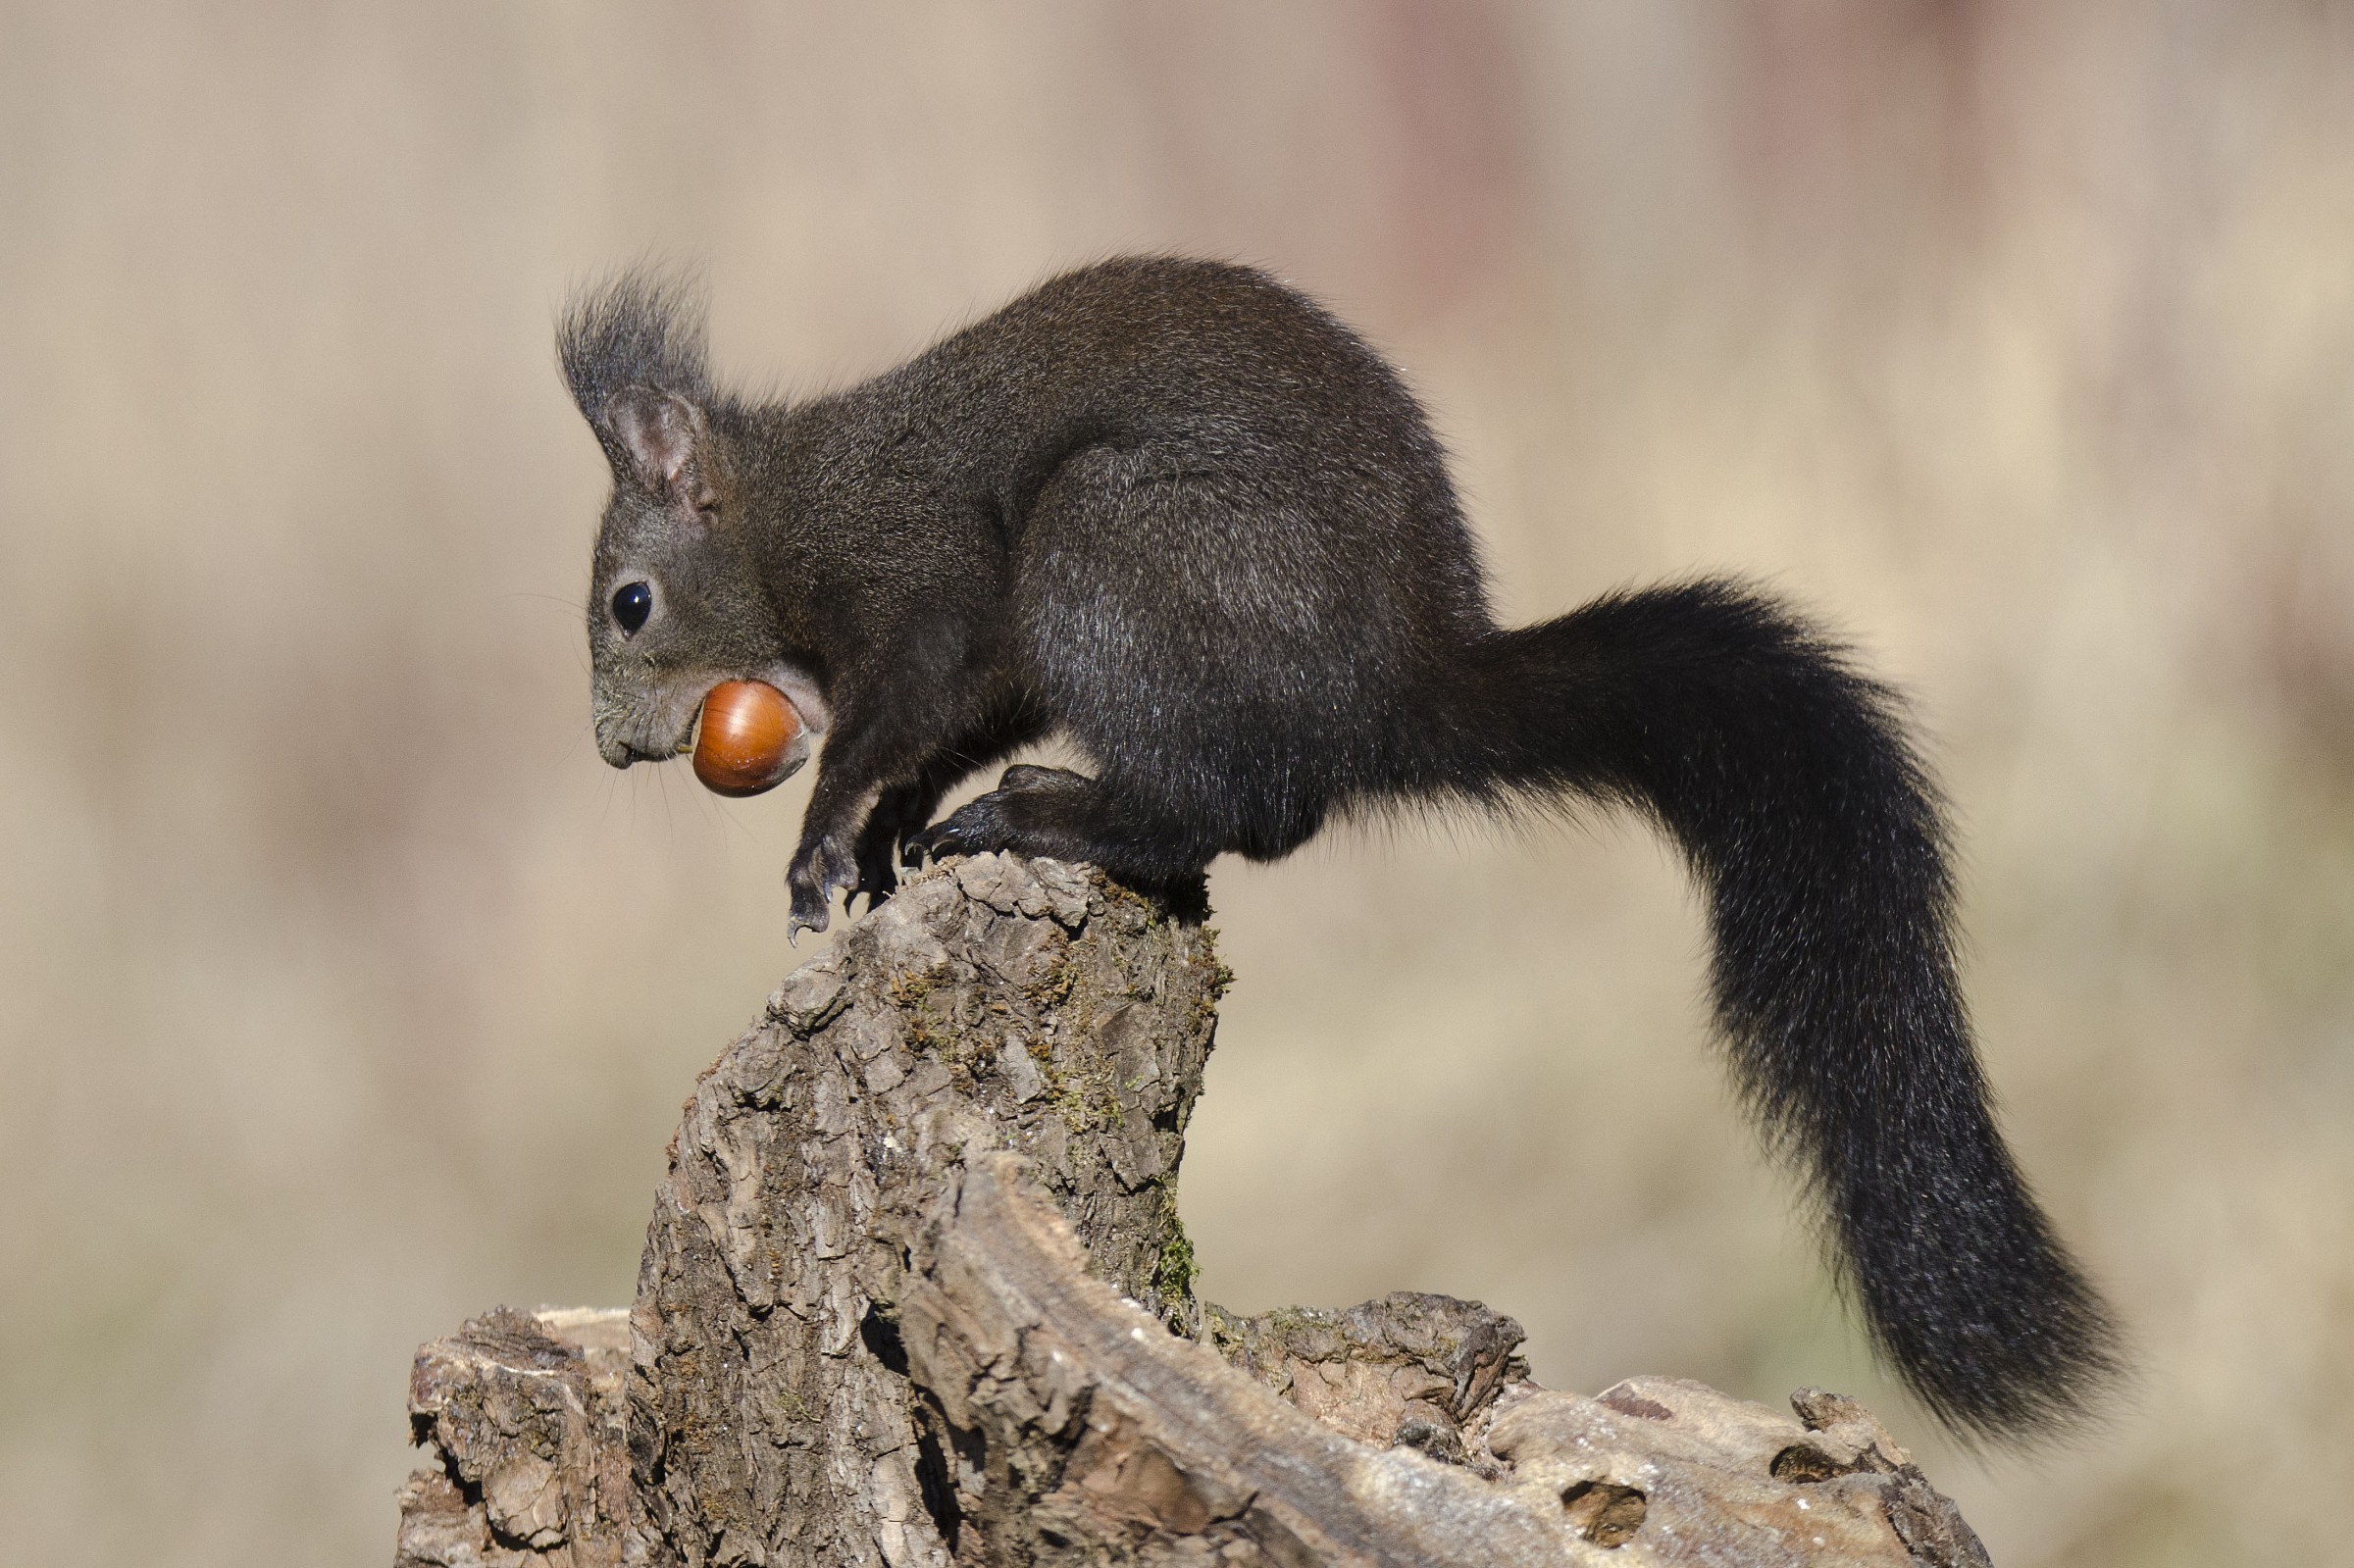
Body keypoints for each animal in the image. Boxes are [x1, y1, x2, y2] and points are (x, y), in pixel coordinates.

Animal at [560, 256, 2121, 1443]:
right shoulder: (968, 663)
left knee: (1222, 808)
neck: (790, 509)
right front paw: (878, 848)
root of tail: (1394, 687)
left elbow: (895, 722)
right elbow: (929, 738)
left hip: (1115, 552)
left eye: (631, 602)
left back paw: (1044, 812)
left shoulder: (923, 589)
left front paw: (827, 846)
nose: (615, 752)